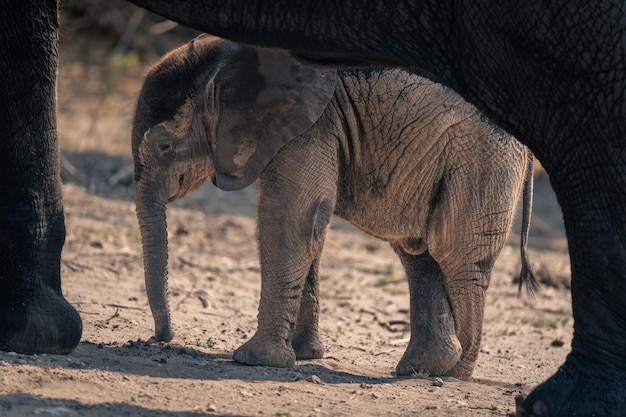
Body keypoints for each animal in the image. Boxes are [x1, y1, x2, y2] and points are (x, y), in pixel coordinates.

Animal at [132, 35, 532, 380]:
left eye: (165, 147)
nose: (161, 338)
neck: (226, 53)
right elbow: (308, 223)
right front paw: (305, 354)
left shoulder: (313, 123)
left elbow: (291, 218)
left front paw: (254, 360)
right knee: (418, 253)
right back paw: (423, 368)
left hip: (482, 158)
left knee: (455, 255)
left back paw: (453, 373)